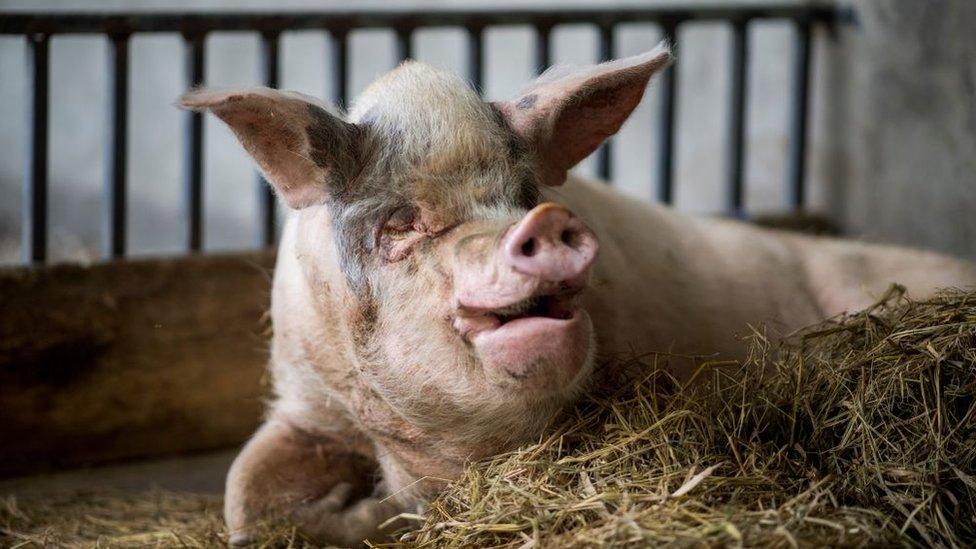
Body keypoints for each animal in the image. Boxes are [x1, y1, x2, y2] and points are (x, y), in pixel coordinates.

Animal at [181, 41, 976, 544]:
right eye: (399, 222)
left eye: (526, 193)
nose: (544, 221)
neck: (430, 458)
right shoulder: (307, 395)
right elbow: (243, 500)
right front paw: (367, 513)